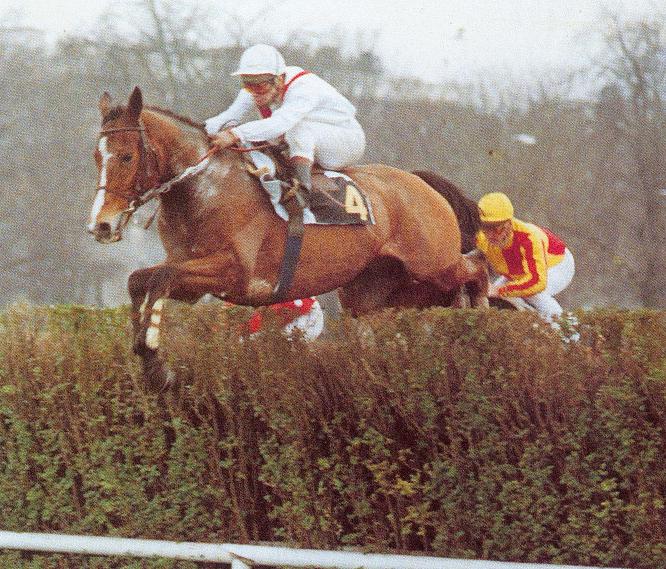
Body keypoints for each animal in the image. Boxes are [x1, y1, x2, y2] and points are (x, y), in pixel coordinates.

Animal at [85, 87, 486, 386]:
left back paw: (480, 320)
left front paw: (153, 352)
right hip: (376, 295)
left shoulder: (236, 274)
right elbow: (140, 281)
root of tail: (420, 182)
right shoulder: (190, 277)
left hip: (432, 264)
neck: (205, 188)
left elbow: (160, 278)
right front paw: (152, 362)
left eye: (126, 156)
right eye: (96, 157)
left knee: (476, 266)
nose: (101, 226)